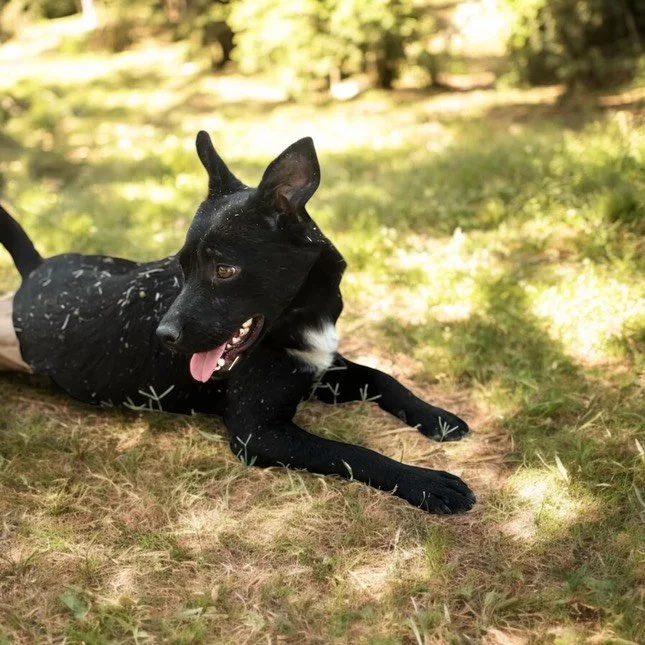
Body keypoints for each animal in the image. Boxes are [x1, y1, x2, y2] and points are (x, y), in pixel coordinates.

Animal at [0, 132, 475, 514]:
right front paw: (426, 482)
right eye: (182, 266)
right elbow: (353, 452)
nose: (163, 337)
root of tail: (35, 271)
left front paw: (437, 417)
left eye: (224, 270)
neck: (299, 317)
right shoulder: (259, 434)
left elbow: (384, 377)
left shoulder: (322, 369)